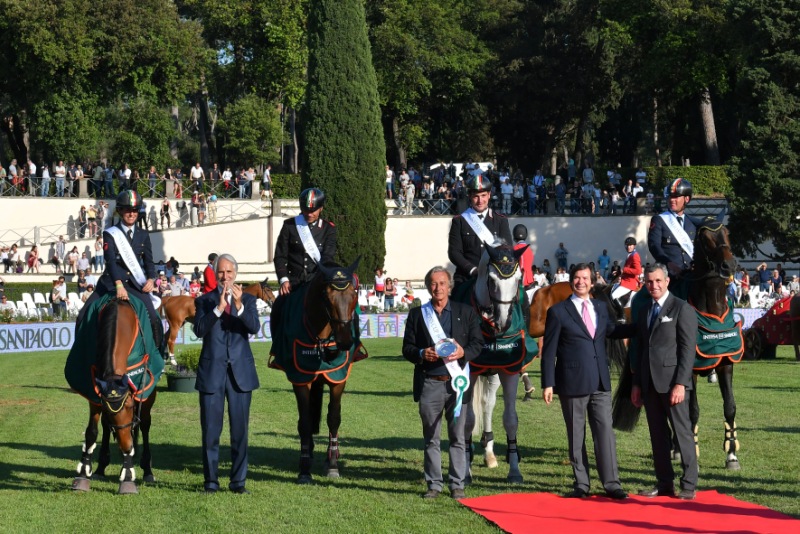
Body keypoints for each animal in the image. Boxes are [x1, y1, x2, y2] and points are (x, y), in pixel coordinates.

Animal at [68, 300, 159, 496]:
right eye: (105, 406)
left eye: (130, 405)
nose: (124, 445)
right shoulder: (94, 391)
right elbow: (91, 432)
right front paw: (83, 474)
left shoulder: (143, 387)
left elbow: (140, 427)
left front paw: (128, 477)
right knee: (105, 427)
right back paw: (101, 467)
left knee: (145, 425)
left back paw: (147, 470)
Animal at [268, 260, 362, 486]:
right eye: (327, 298)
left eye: (354, 295)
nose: (345, 341)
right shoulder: (301, 379)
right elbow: (305, 421)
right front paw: (304, 469)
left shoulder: (338, 378)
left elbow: (334, 418)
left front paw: (333, 465)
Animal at [460, 243, 536, 486]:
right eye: (492, 280)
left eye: (518, 279)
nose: (504, 320)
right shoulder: (471, 372)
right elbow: (467, 421)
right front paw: (465, 473)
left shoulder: (509, 370)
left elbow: (510, 419)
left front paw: (514, 471)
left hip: (493, 375)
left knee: (488, 404)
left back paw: (489, 452)